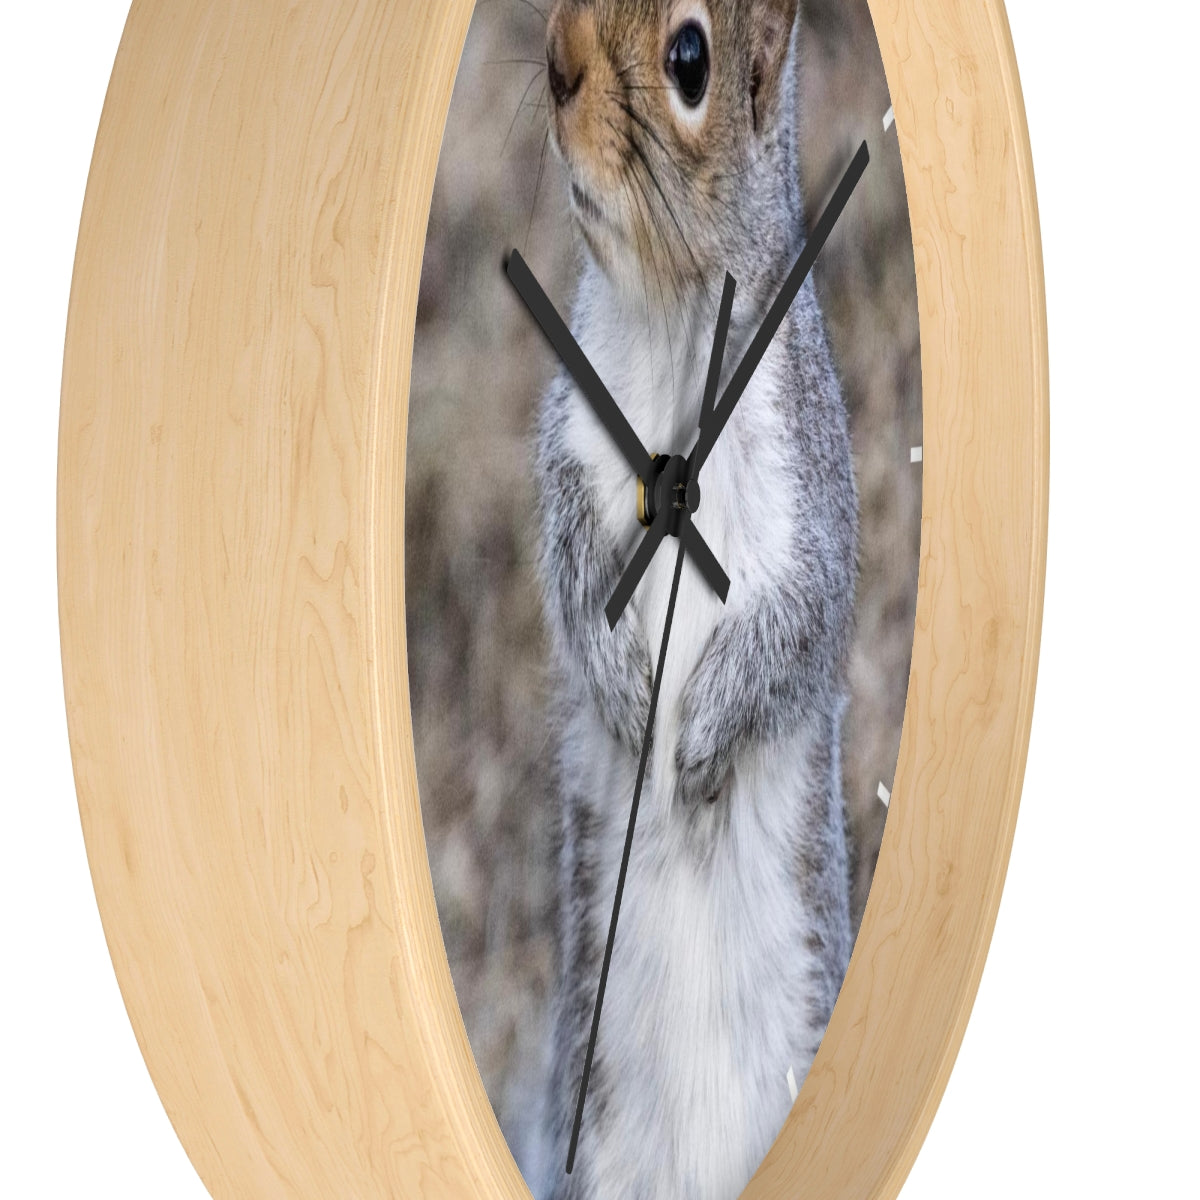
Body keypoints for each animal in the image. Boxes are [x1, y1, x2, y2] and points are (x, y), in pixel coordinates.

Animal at [525, 3, 858, 1197]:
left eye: (689, 60)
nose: (557, 62)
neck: (673, 316)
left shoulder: (814, 499)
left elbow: (799, 626)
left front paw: (701, 743)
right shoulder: (571, 446)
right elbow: (574, 564)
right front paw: (630, 698)